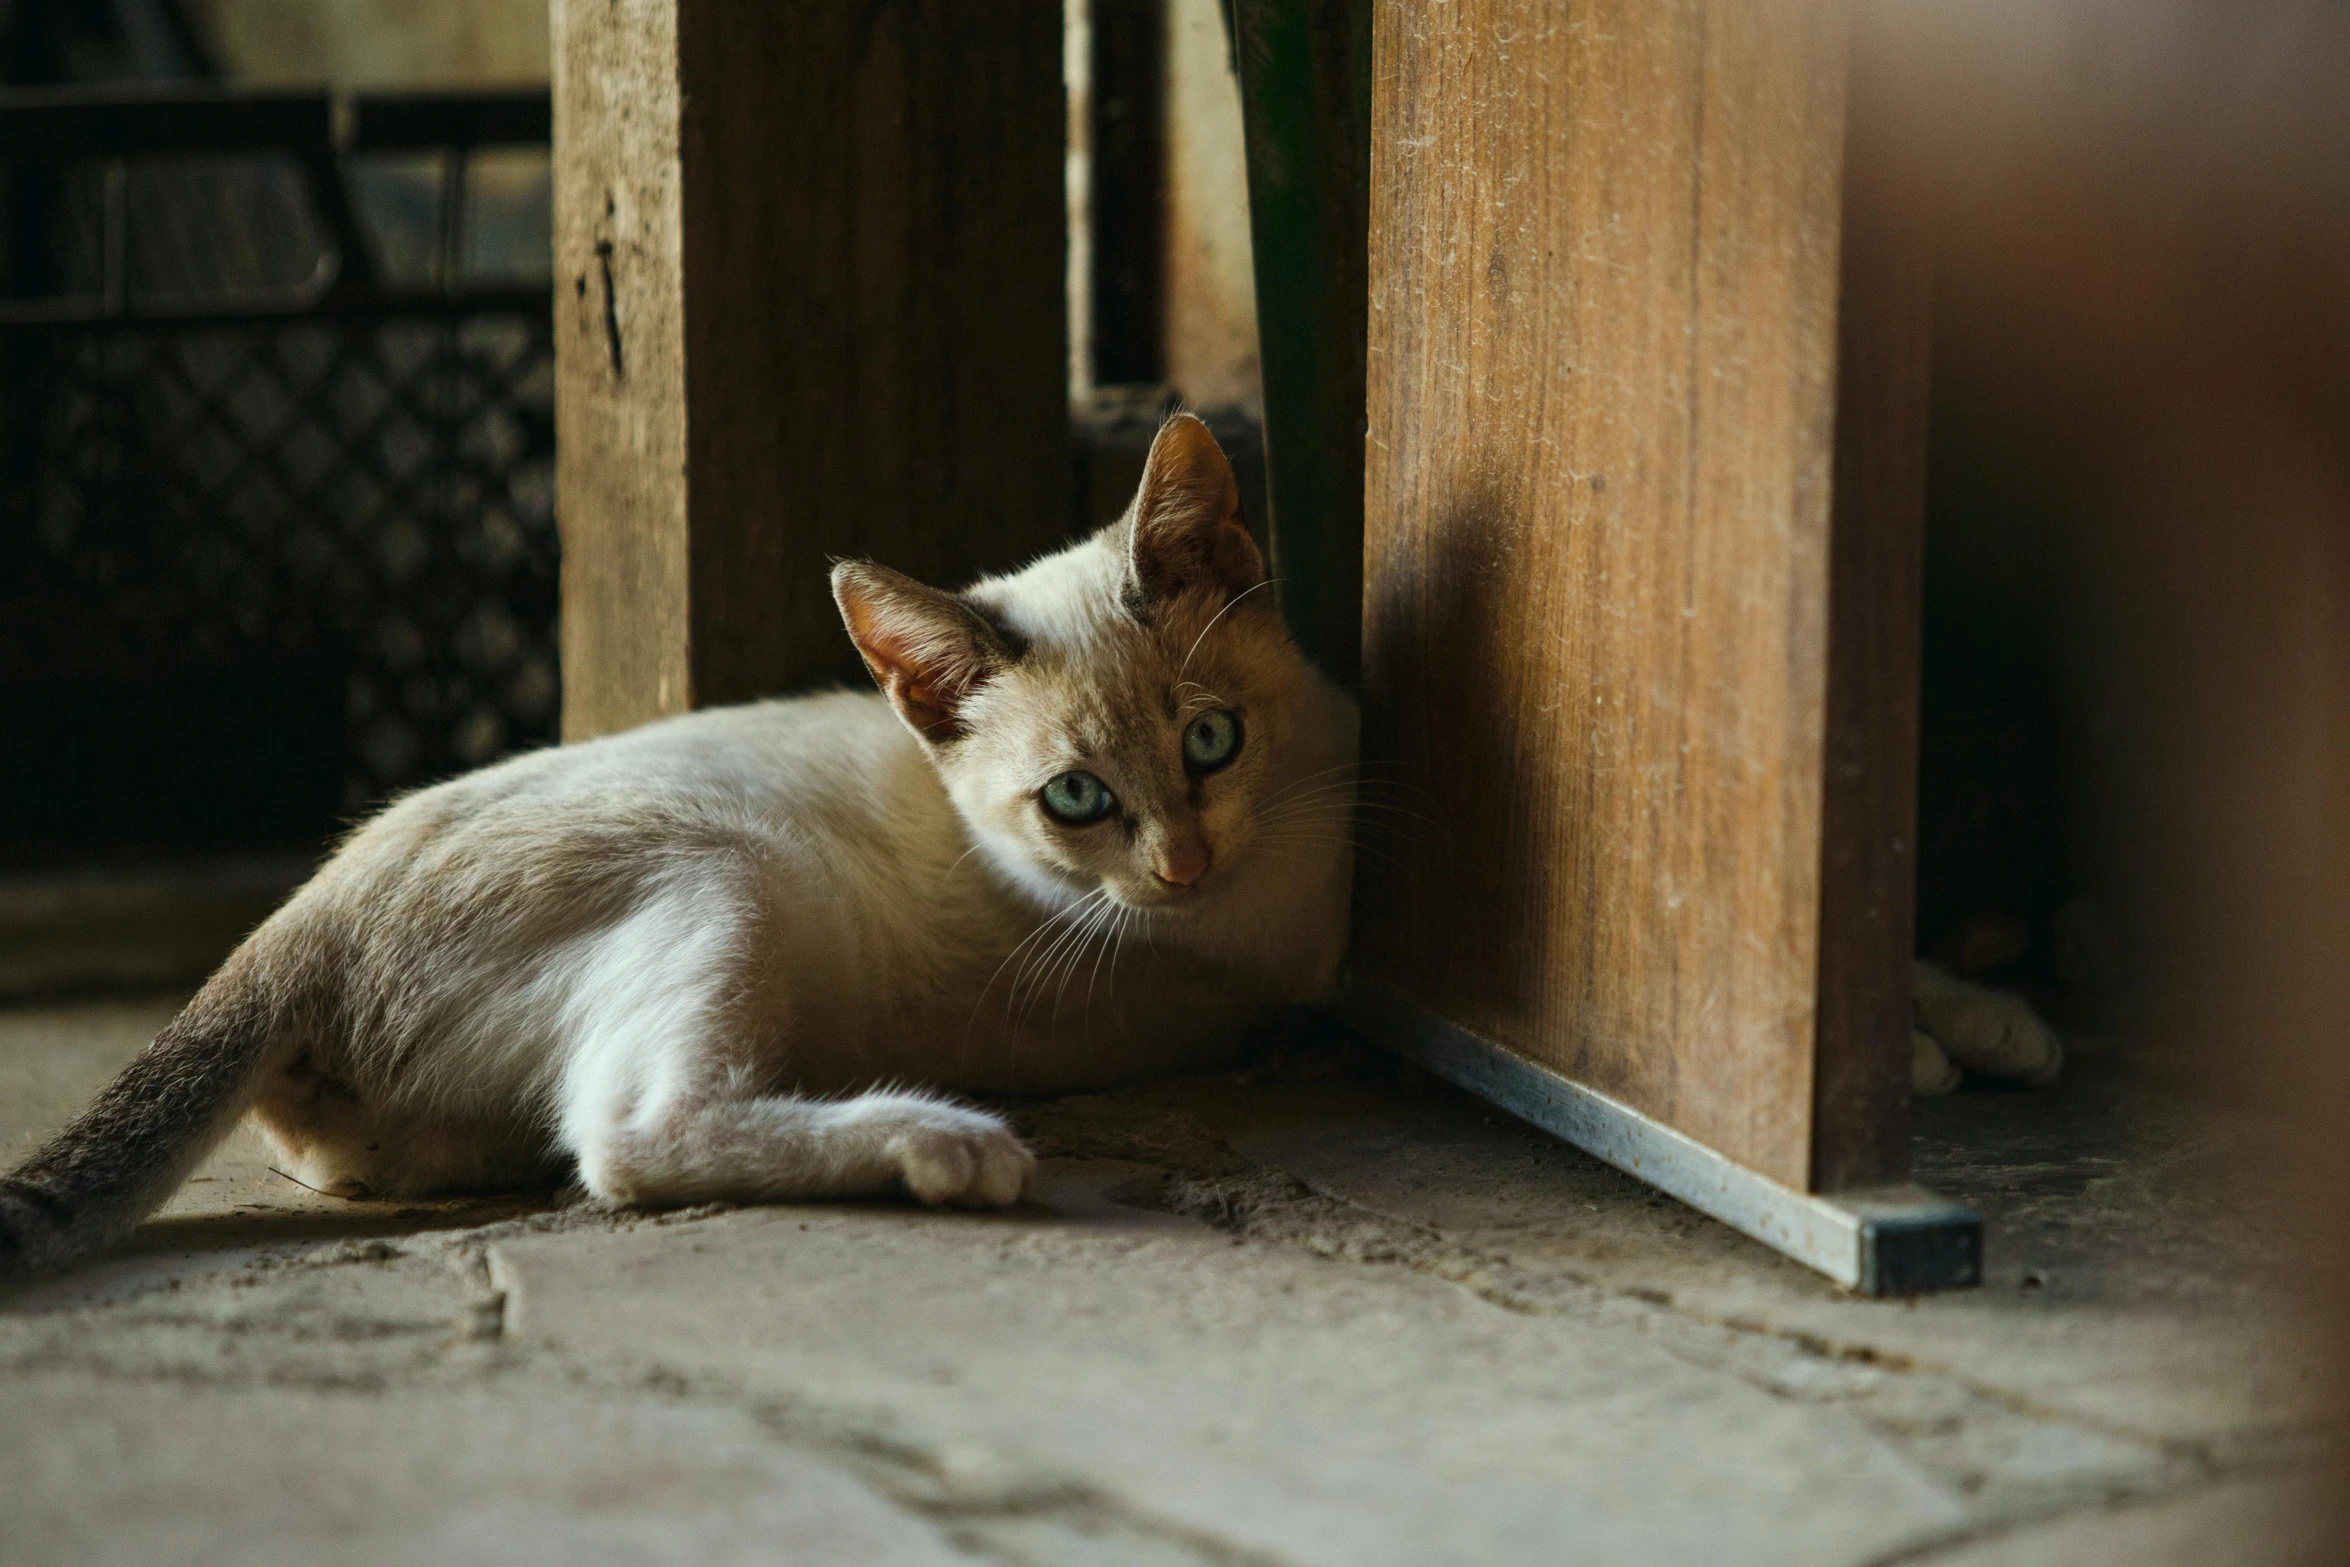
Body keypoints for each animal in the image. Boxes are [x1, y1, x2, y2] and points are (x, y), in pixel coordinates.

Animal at [0, 411, 1363, 1278]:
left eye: (1211, 740)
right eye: (1075, 799)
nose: (1182, 867)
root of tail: (297, 916)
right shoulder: (1231, 963)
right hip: (723, 875)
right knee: (629, 1141)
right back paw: (944, 1143)